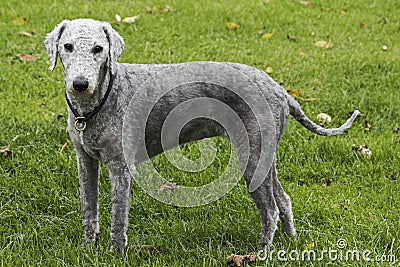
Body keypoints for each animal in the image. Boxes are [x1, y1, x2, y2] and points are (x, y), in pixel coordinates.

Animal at [44, 19, 360, 255]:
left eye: (99, 49)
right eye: (67, 47)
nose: (80, 84)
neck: (100, 100)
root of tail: (280, 89)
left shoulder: (120, 167)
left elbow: (118, 218)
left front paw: (115, 254)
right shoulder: (85, 160)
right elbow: (89, 208)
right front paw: (87, 248)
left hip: (253, 157)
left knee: (270, 210)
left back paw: (260, 252)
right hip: (266, 157)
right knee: (283, 200)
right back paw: (291, 242)